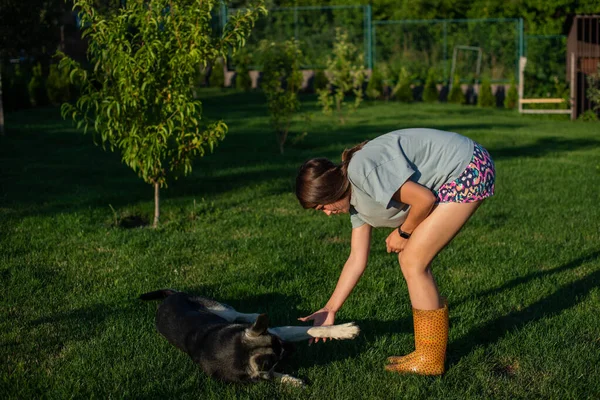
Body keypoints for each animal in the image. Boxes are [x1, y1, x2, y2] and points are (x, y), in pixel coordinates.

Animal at [138, 290, 358, 386]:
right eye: (279, 356)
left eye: (281, 347)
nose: (292, 349)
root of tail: (169, 296)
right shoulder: (251, 373)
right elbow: (269, 375)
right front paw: (291, 380)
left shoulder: (278, 332)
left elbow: (311, 330)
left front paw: (343, 331)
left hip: (223, 310)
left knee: (238, 313)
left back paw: (254, 316)